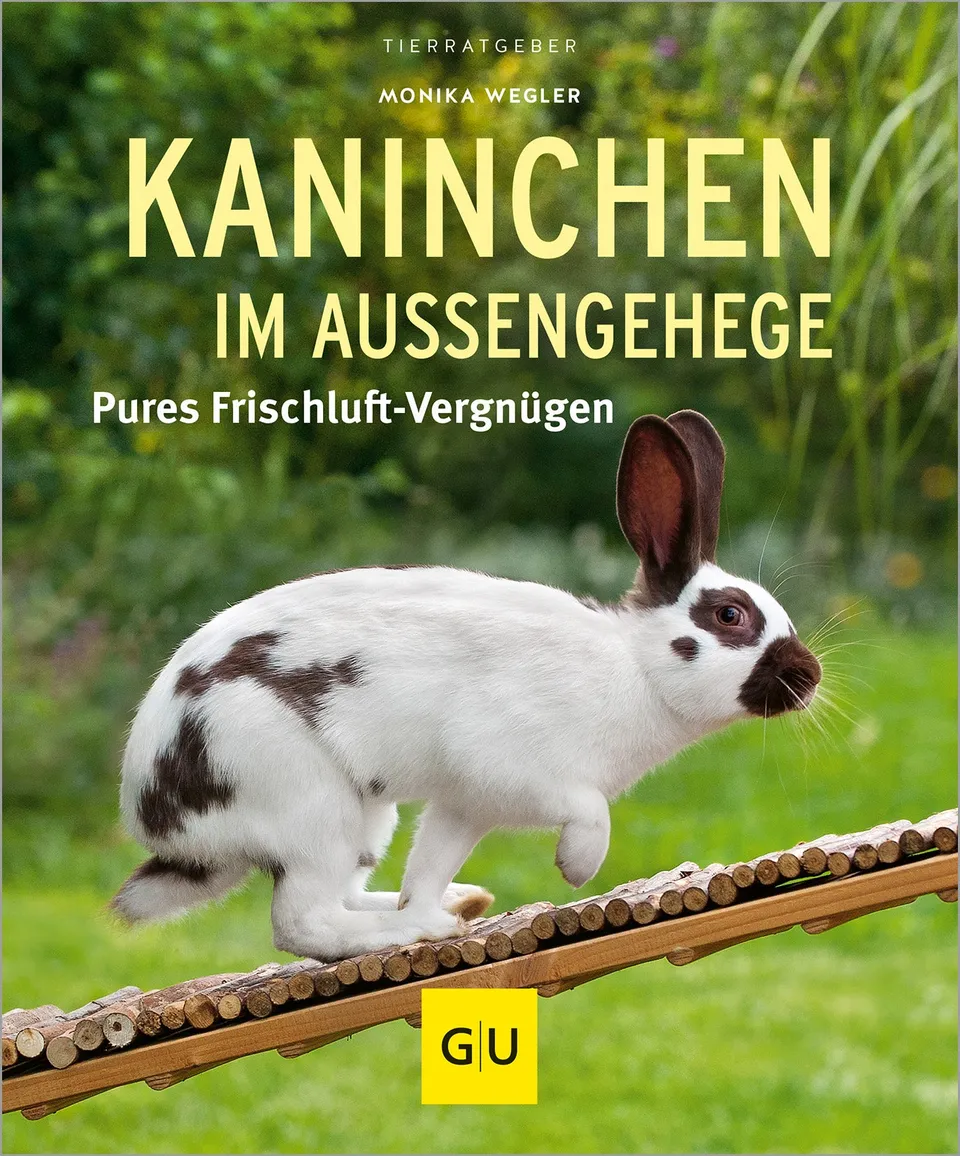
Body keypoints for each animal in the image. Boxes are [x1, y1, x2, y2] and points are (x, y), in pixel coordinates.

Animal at [113, 410, 822, 961]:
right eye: (729, 617)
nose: (808, 676)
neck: (636, 669)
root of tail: (158, 817)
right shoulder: (515, 769)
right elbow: (590, 811)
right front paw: (577, 867)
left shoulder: (463, 803)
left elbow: (430, 862)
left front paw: (440, 900)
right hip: (304, 797)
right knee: (302, 923)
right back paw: (409, 934)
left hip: (368, 819)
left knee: (348, 895)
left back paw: (451, 907)